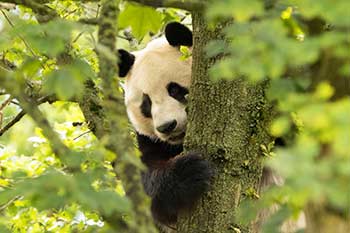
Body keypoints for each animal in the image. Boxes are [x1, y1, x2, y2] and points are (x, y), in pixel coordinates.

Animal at [117, 22, 213, 225]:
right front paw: (189, 172)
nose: (167, 126)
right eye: (146, 103)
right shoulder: (150, 140)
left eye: (174, 89)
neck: (178, 143)